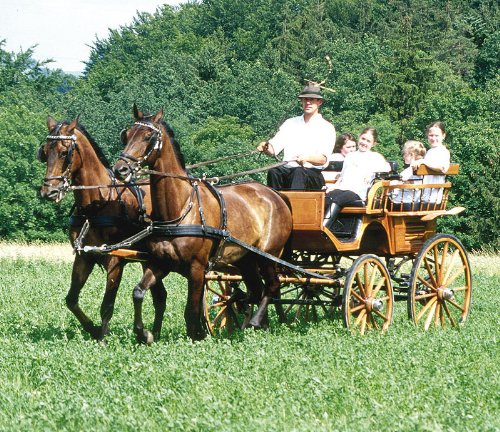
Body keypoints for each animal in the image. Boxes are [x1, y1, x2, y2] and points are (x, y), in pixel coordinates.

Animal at [39, 116, 167, 342]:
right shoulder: (84, 257)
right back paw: (154, 334)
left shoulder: (115, 260)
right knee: (159, 297)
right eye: (44, 152)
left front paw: (102, 338)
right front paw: (93, 328)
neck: (97, 205)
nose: (49, 192)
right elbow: (71, 300)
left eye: (64, 152)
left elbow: (107, 305)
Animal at [113, 106, 292, 342]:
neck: (180, 210)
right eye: (126, 135)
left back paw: (255, 321)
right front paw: (144, 333)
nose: (120, 170)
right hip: (246, 260)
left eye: (148, 136)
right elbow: (138, 292)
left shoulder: (197, 269)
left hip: (267, 256)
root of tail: (276, 195)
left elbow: (191, 310)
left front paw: (196, 336)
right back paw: (250, 326)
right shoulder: (160, 264)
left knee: (272, 286)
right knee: (256, 291)